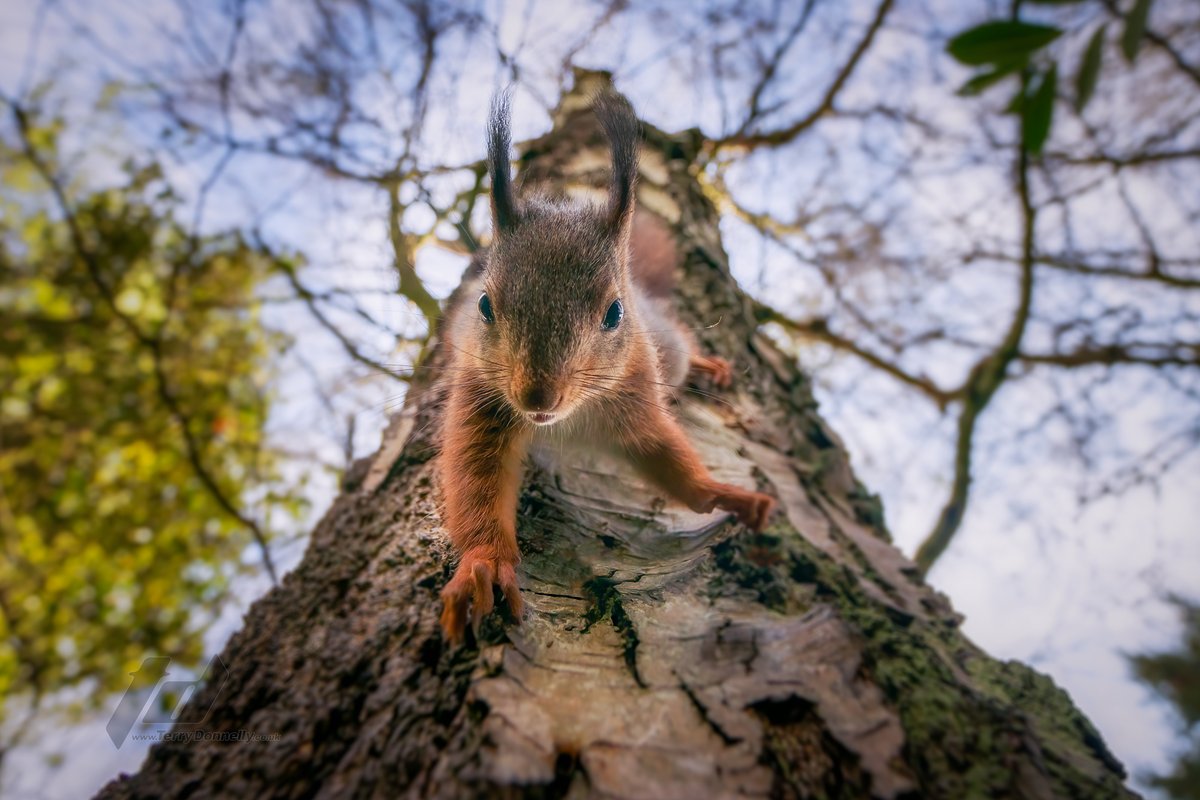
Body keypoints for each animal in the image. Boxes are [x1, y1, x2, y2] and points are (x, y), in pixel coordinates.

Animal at [436, 93, 775, 643]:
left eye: (614, 313)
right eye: (485, 305)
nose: (537, 397)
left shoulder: (636, 398)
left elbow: (666, 457)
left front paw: (723, 494)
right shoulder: (480, 399)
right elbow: (475, 477)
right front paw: (483, 565)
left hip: (667, 350)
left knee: (684, 348)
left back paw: (709, 365)